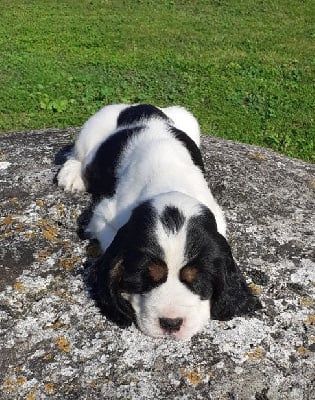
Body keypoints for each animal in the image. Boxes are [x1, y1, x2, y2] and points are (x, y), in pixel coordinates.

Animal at [57, 104, 262, 340]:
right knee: (79, 156)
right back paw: (72, 175)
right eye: (146, 277)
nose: (171, 323)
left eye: (196, 280)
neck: (169, 182)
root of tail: (140, 106)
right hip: (91, 131)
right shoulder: (103, 215)